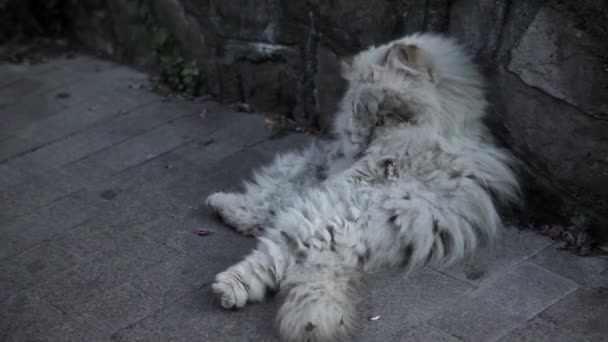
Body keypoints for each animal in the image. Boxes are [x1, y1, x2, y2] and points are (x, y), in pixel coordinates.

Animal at [207, 32, 520, 342]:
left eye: (385, 116)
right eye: (371, 119)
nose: (366, 141)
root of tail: (343, 247)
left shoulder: (380, 164)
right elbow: (275, 193)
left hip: (313, 221)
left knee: (272, 253)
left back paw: (228, 287)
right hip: (308, 183)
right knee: (266, 204)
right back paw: (222, 205)